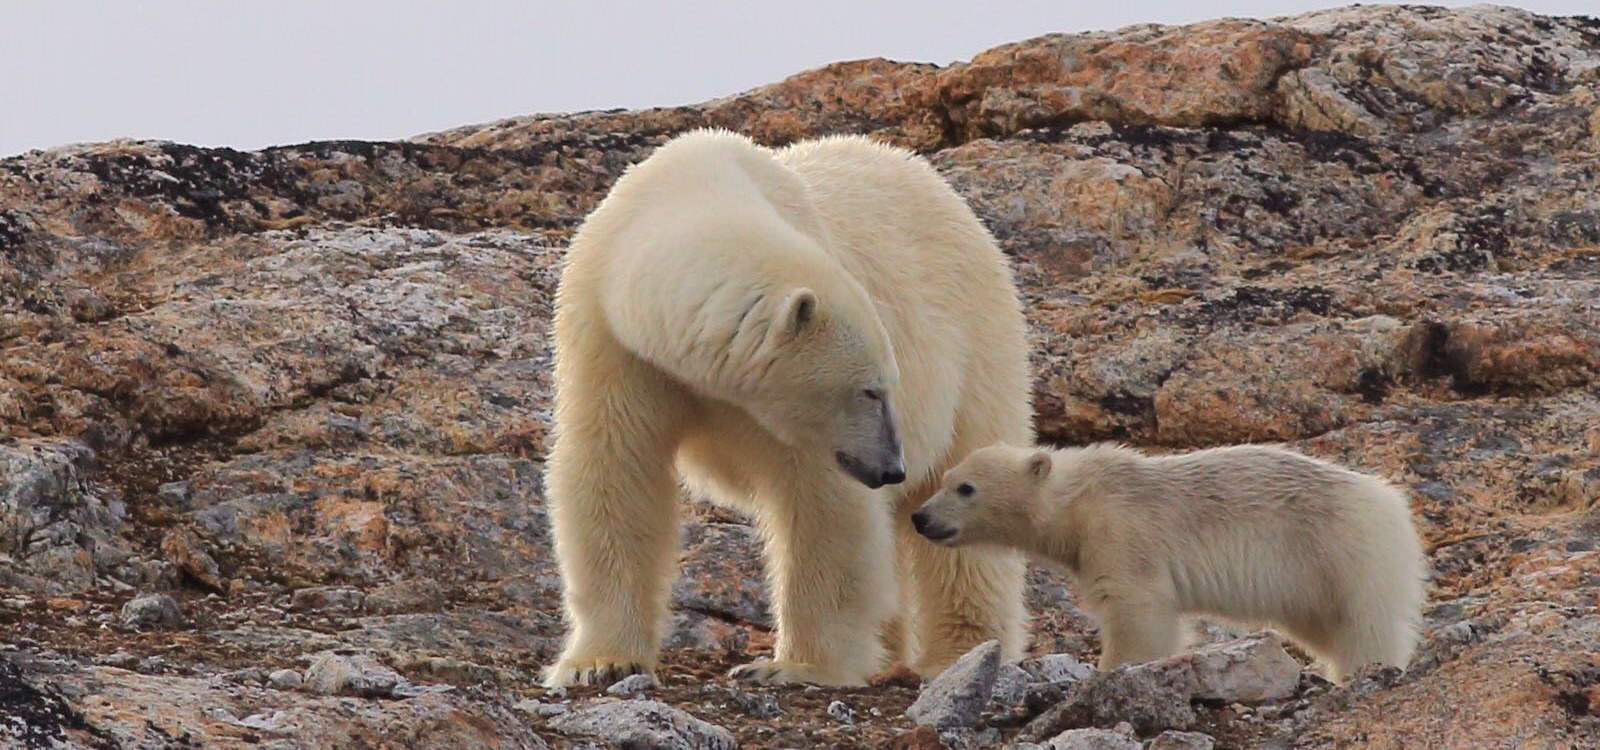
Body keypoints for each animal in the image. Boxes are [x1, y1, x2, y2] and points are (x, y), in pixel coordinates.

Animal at [542, 130, 1032, 687]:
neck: (690, 189)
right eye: (871, 390)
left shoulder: (807, 426)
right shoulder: (612, 340)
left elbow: (823, 501)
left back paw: (958, 650)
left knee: (966, 479)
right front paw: (599, 662)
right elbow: (615, 470)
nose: (891, 468)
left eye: (889, 385)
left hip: (979, 342)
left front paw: (794, 666)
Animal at [912, 442, 1427, 682]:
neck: (1079, 500)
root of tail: (1388, 502)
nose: (920, 517)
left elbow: (1137, 608)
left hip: (1348, 553)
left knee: (1366, 622)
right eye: (945, 478)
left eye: (966, 488)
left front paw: (1111, 669)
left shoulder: (1121, 533)